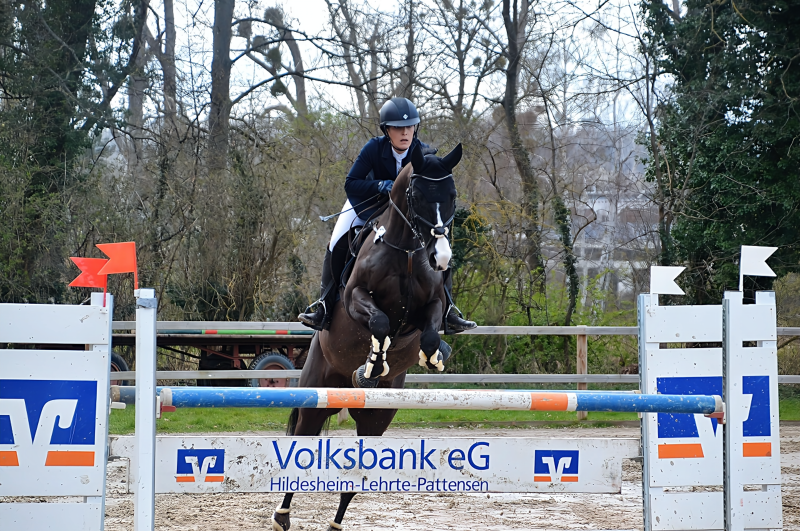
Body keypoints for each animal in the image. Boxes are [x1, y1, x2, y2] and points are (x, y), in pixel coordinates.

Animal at [272, 143, 462, 528]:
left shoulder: (431, 306)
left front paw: (432, 356)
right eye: (418, 196)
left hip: (376, 419)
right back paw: (282, 515)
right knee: (301, 443)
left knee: (357, 475)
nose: (441, 257)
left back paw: (335, 522)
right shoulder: (355, 297)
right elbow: (380, 323)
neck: (408, 251)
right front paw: (371, 367)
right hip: (315, 396)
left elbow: (430, 331)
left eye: (452, 196)